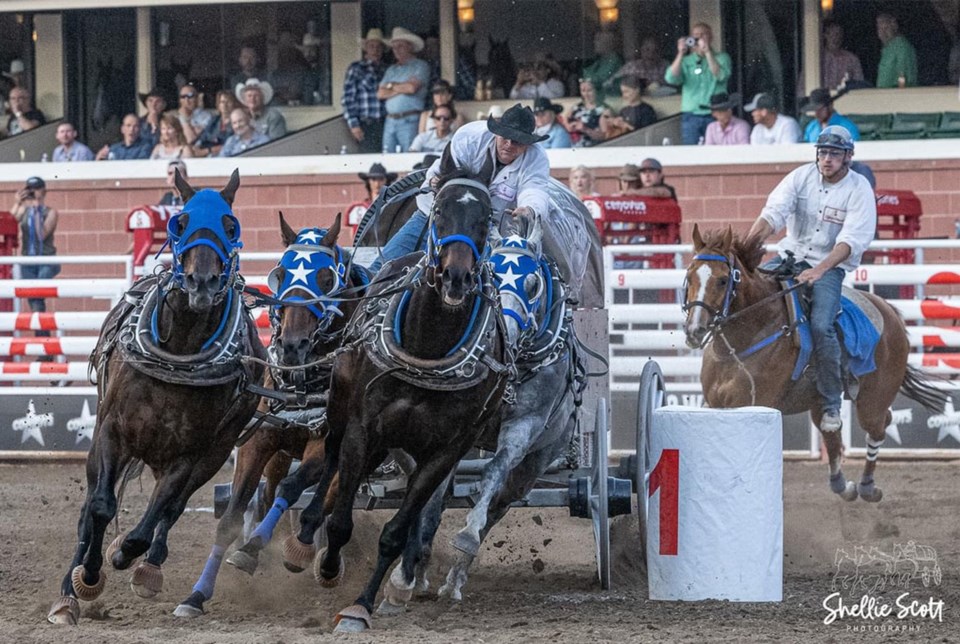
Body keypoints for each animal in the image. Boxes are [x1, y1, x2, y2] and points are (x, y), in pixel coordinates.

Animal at [47, 171, 266, 624]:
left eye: (229, 225)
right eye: (180, 222)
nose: (202, 283)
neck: (179, 354)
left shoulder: (192, 452)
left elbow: (159, 512)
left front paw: (127, 554)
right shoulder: (112, 431)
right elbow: (100, 507)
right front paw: (87, 575)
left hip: (214, 453)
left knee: (172, 509)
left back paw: (147, 564)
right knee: (91, 509)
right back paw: (71, 589)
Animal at [684, 226, 944, 504]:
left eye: (723, 280)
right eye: (689, 277)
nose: (694, 330)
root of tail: (888, 311)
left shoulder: (751, 402)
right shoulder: (714, 403)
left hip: (873, 400)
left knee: (879, 425)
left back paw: (867, 487)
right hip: (821, 401)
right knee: (832, 435)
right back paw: (845, 486)